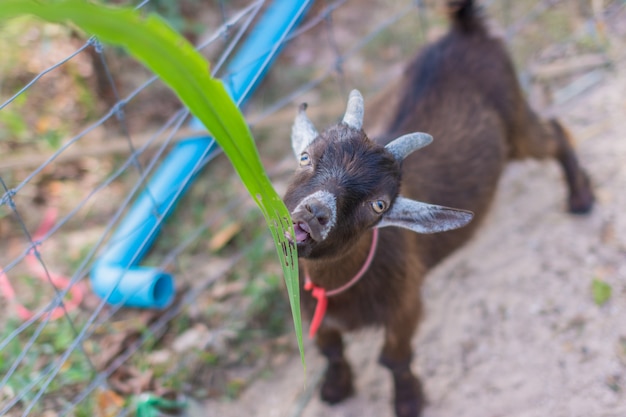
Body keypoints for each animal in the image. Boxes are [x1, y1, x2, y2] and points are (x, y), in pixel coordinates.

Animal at [280, 1, 592, 414]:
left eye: (379, 204)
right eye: (305, 157)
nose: (315, 213)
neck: (337, 286)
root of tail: (466, 29)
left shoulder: (405, 304)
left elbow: (394, 358)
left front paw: (409, 400)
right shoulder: (312, 310)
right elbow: (330, 351)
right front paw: (335, 388)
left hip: (516, 125)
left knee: (554, 132)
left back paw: (581, 197)